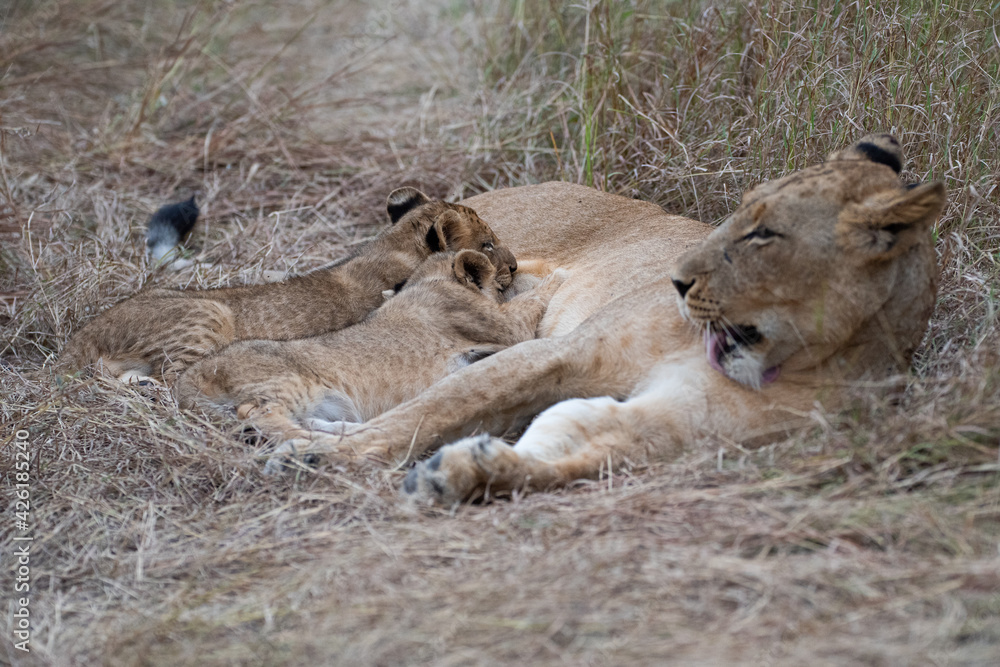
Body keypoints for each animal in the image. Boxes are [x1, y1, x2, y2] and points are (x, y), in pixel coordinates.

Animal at [60, 188, 518, 383]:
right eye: (488, 243)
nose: (514, 267)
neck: (393, 245)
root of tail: (78, 340)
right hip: (208, 312)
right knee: (173, 378)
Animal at [175, 250, 565, 445]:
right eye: (498, 270)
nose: (512, 267)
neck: (429, 280)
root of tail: (191, 376)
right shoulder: (504, 328)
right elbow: (532, 300)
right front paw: (558, 274)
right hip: (289, 381)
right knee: (255, 415)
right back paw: (307, 444)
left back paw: (330, 432)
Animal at [262, 135, 947, 504]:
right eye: (738, 215)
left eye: (764, 235)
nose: (678, 280)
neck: (793, 353)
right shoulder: (561, 352)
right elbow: (430, 411)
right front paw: (313, 457)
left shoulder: (667, 424)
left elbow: (568, 442)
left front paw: (464, 472)